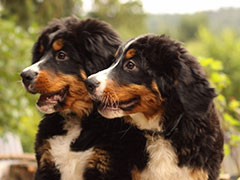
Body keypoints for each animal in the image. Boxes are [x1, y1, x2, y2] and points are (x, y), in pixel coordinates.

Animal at [20, 16, 147, 179]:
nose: (25, 75)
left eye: (61, 55)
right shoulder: (46, 163)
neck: (76, 119)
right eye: (40, 54)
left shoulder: (105, 165)